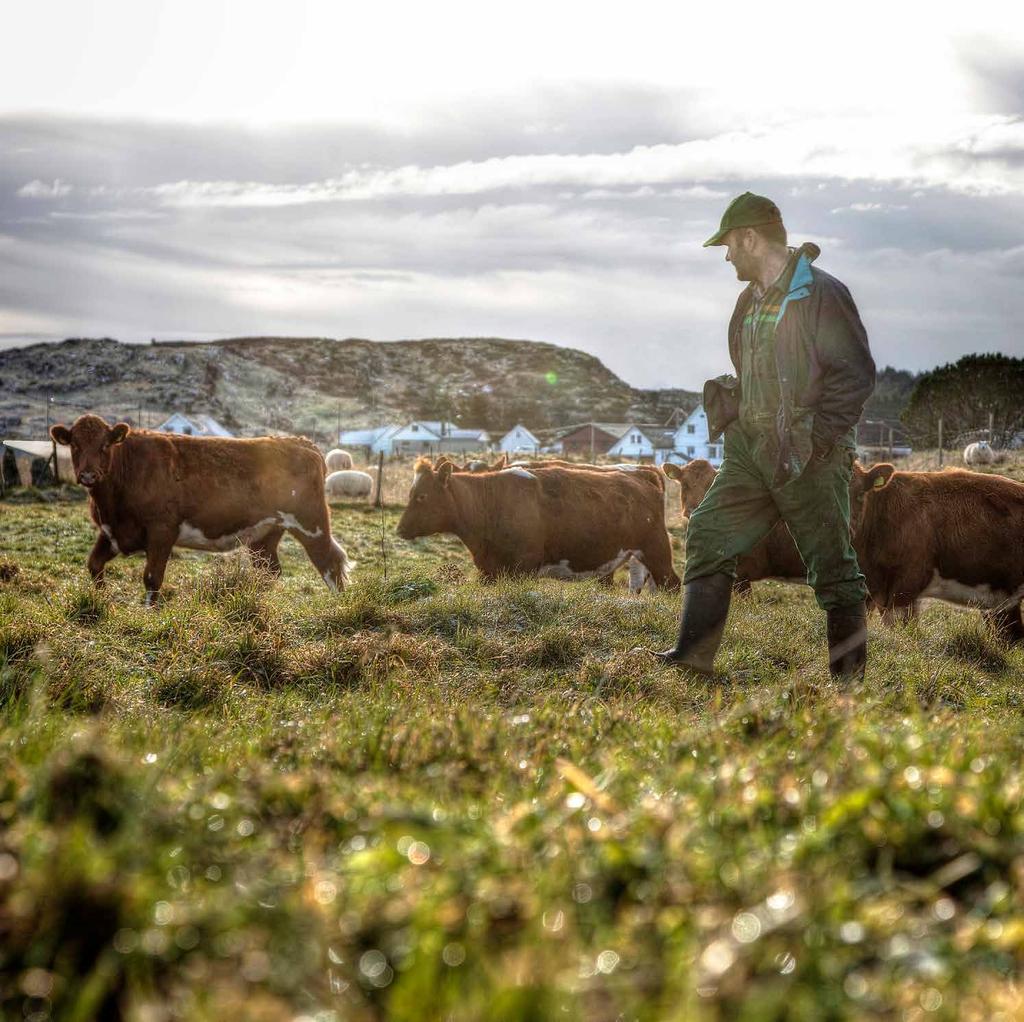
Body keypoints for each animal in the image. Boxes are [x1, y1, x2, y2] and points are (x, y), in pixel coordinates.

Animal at [51, 415, 352, 602]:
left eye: (104, 445)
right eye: (74, 445)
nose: (88, 475)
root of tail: (300, 441)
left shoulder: (162, 530)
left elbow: (152, 577)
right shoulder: (113, 531)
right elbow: (94, 564)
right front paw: (101, 600)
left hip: (311, 523)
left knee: (329, 562)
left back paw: (339, 607)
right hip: (265, 534)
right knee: (269, 572)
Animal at [393, 458, 679, 593]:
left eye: (421, 496)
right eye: (410, 493)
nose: (400, 529)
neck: (490, 501)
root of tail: (643, 477)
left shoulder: (524, 568)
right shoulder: (490, 571)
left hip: (656, 550)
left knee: (672, 585)